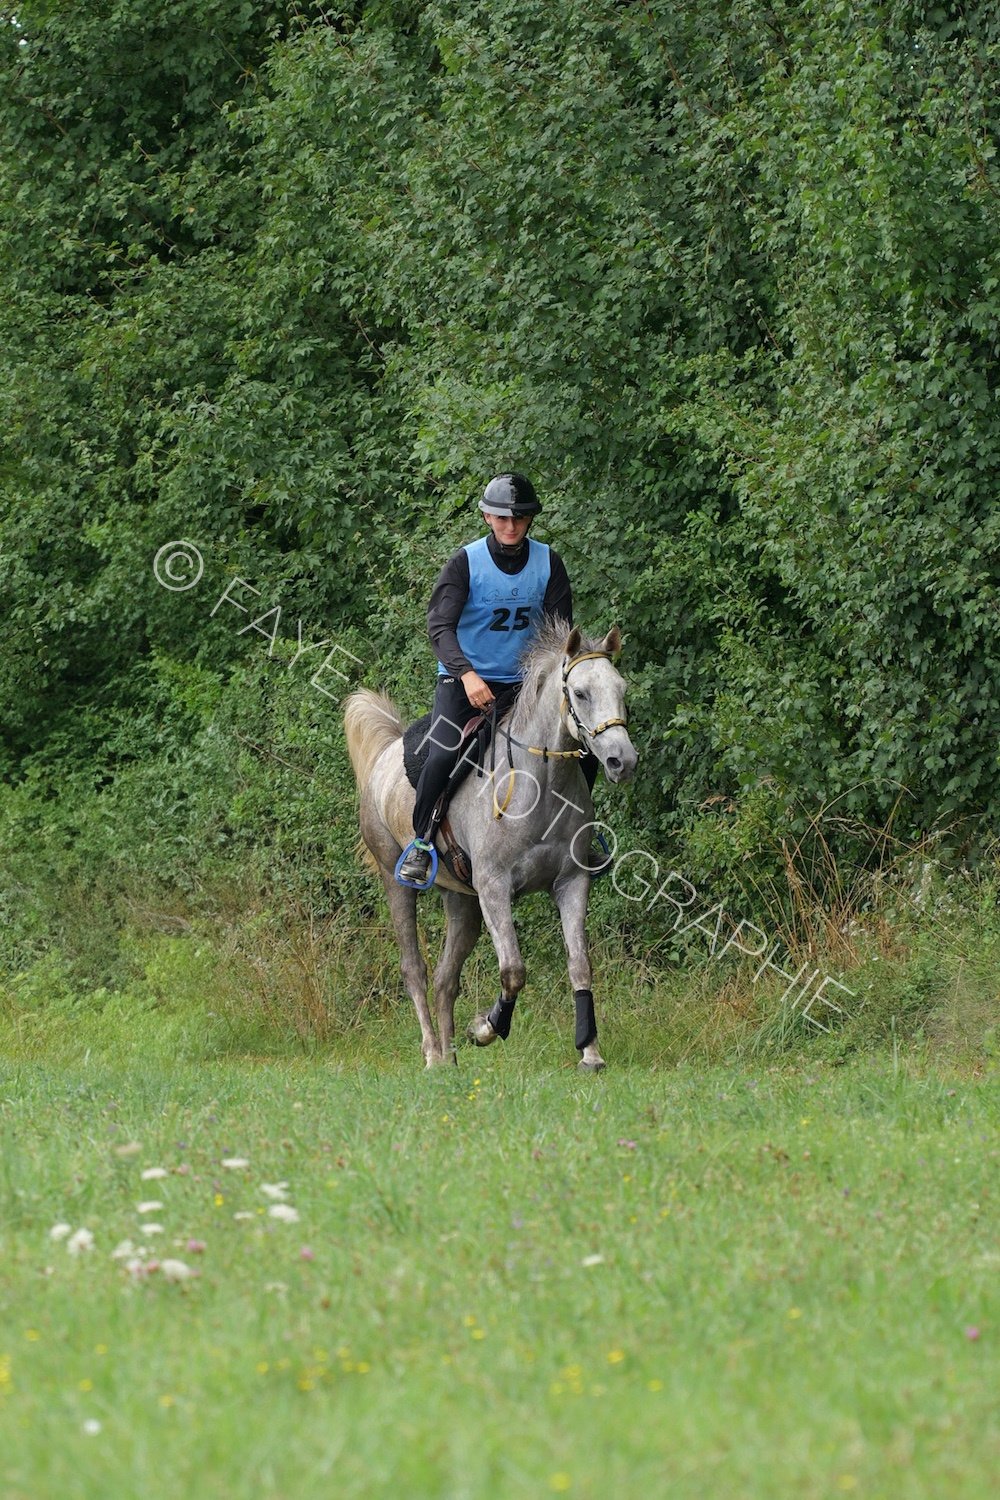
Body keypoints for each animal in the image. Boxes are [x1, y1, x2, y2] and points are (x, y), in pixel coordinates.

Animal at [343, 619, 638, 1069]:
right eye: (581, 693)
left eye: (621, 689)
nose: (624, 761)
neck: (542, 785)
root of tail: (388, 751)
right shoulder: (495, 887)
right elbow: (513, 970)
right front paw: (485, 1028)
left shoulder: (571, 882)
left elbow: (580, 964)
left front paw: (589, 1051)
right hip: (397, 881)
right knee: (415, 969)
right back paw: (433, 1054)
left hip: (462, 899)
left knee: (446, 978)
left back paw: (450, 1059)